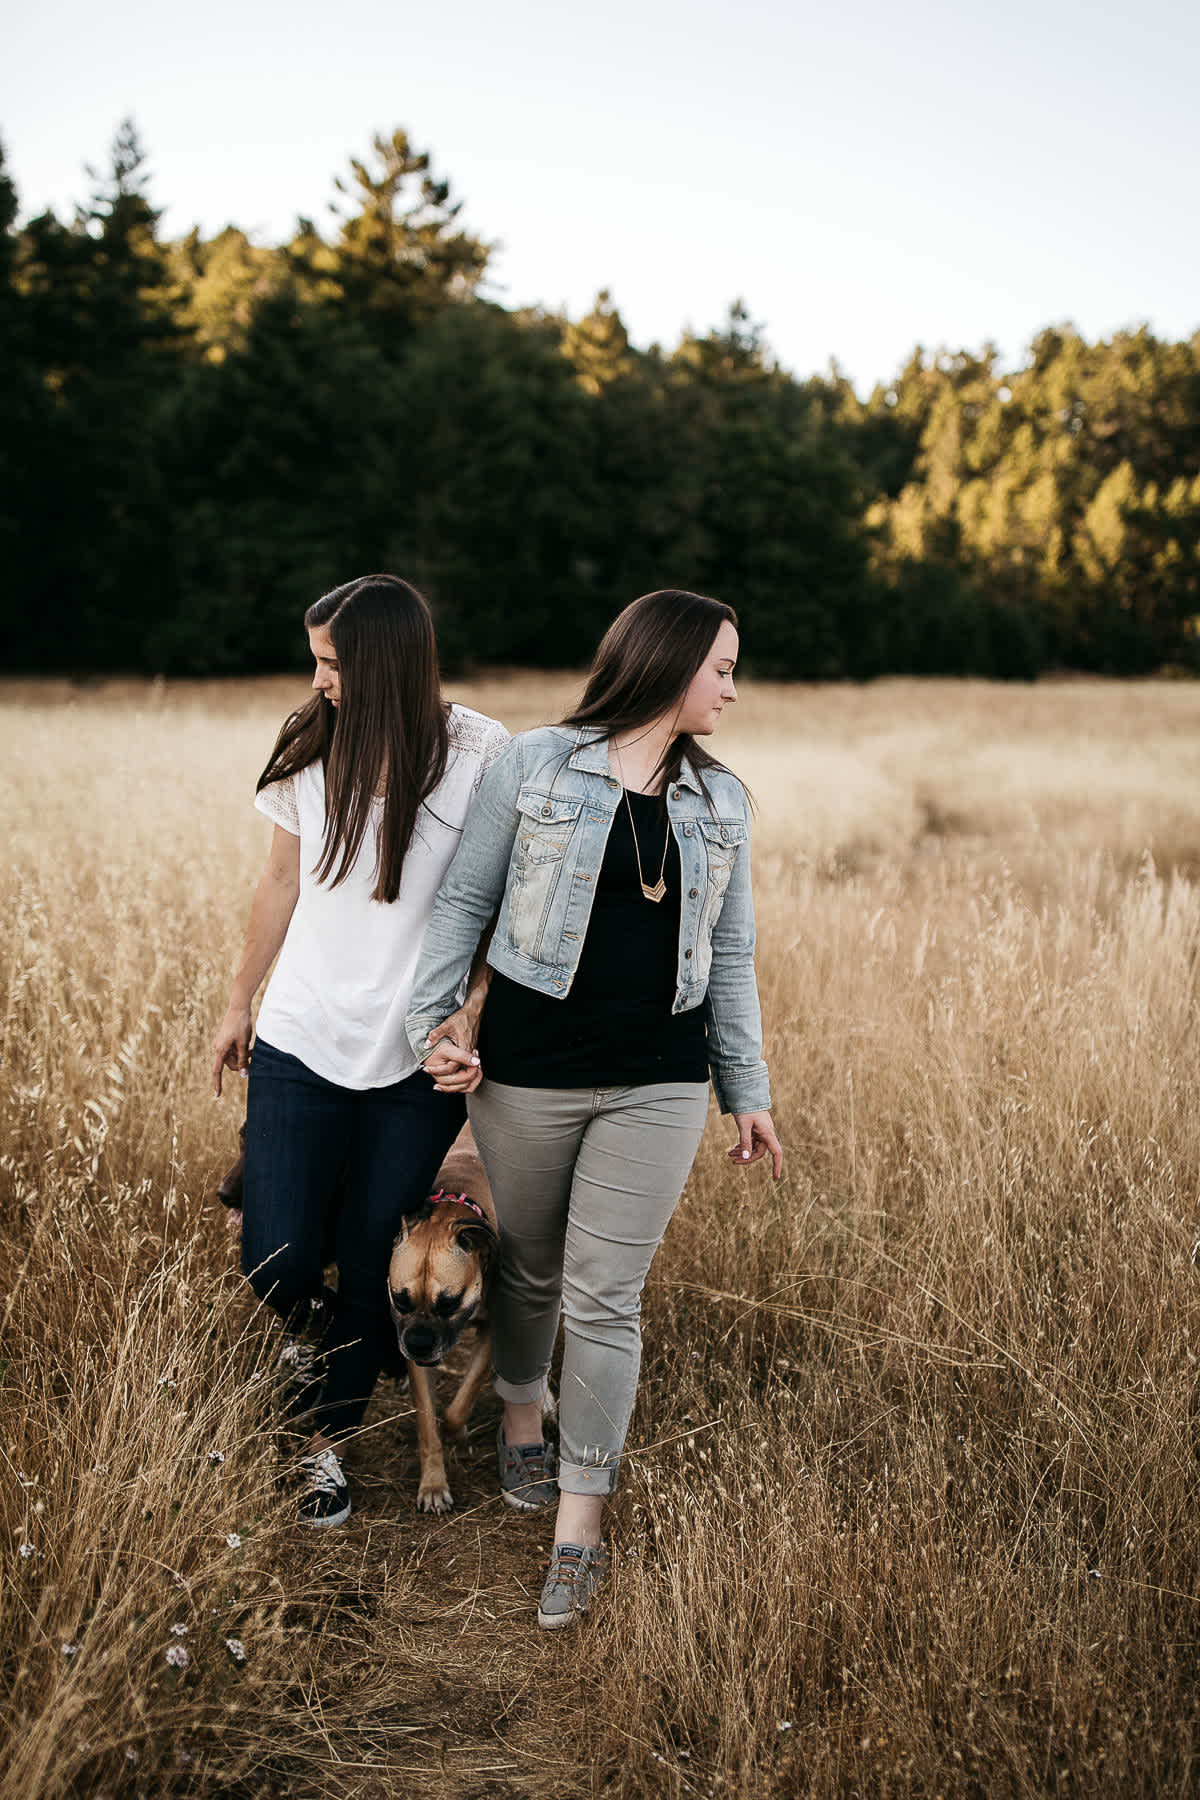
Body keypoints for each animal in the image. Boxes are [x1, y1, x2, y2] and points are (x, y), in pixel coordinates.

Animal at [385, 1130, 496, 1512]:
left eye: (449, 1303)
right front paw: (433, 1484)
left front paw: (455, 1429)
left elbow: (459, 1406)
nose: (418, 1344)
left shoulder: (496, 1331)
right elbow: (428, 1428)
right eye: (399, 1299)